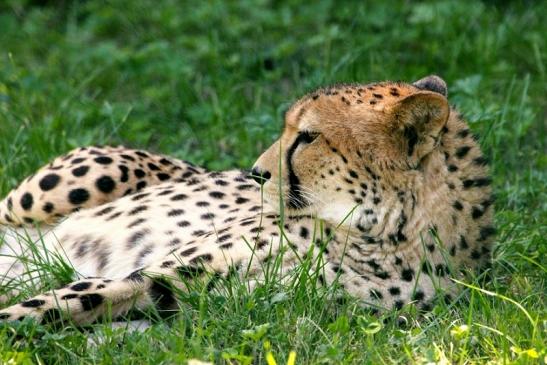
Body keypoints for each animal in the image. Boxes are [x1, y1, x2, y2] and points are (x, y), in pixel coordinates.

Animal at [0, 75, 496, 322]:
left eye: (308, 137)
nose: (256, 173)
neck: (382, 236)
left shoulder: (180, 295)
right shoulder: (160, 272)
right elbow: (51, 302)